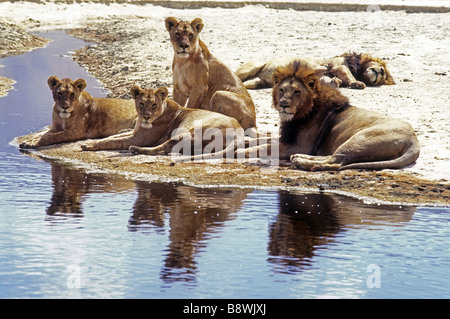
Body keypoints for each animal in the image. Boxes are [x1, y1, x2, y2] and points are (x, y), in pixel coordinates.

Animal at [239, 61, 418, 171]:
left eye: (297, 92)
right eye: (282, 90)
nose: (283, 104)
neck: (304, 111)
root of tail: (414, 140)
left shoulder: (299, 145)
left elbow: (264, 147)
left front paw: (240, 150)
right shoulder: (288, 138)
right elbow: (264, 139)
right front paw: (243, 142)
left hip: (360, 138)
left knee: (335, 162)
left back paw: (301, 161)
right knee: (332, 156)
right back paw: (299, 158)